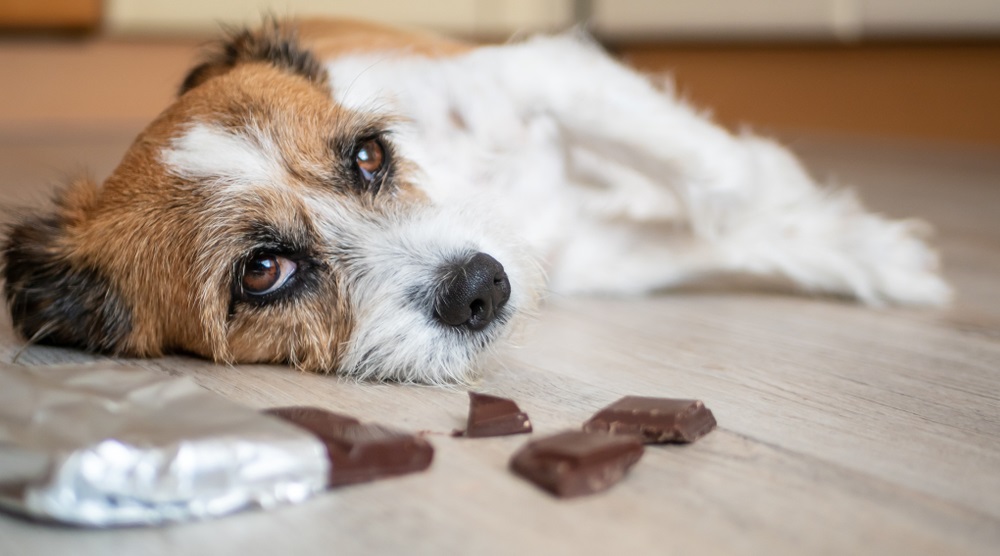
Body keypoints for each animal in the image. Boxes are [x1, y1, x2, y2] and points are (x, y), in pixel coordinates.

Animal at [1, 17, 952, 382]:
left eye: (370, 155)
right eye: (262, 272)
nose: (481, 287)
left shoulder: (544, 74)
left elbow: (723, 182)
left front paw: (869, 248)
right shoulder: (598, 256)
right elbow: (719, 227)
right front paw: (863, 249)